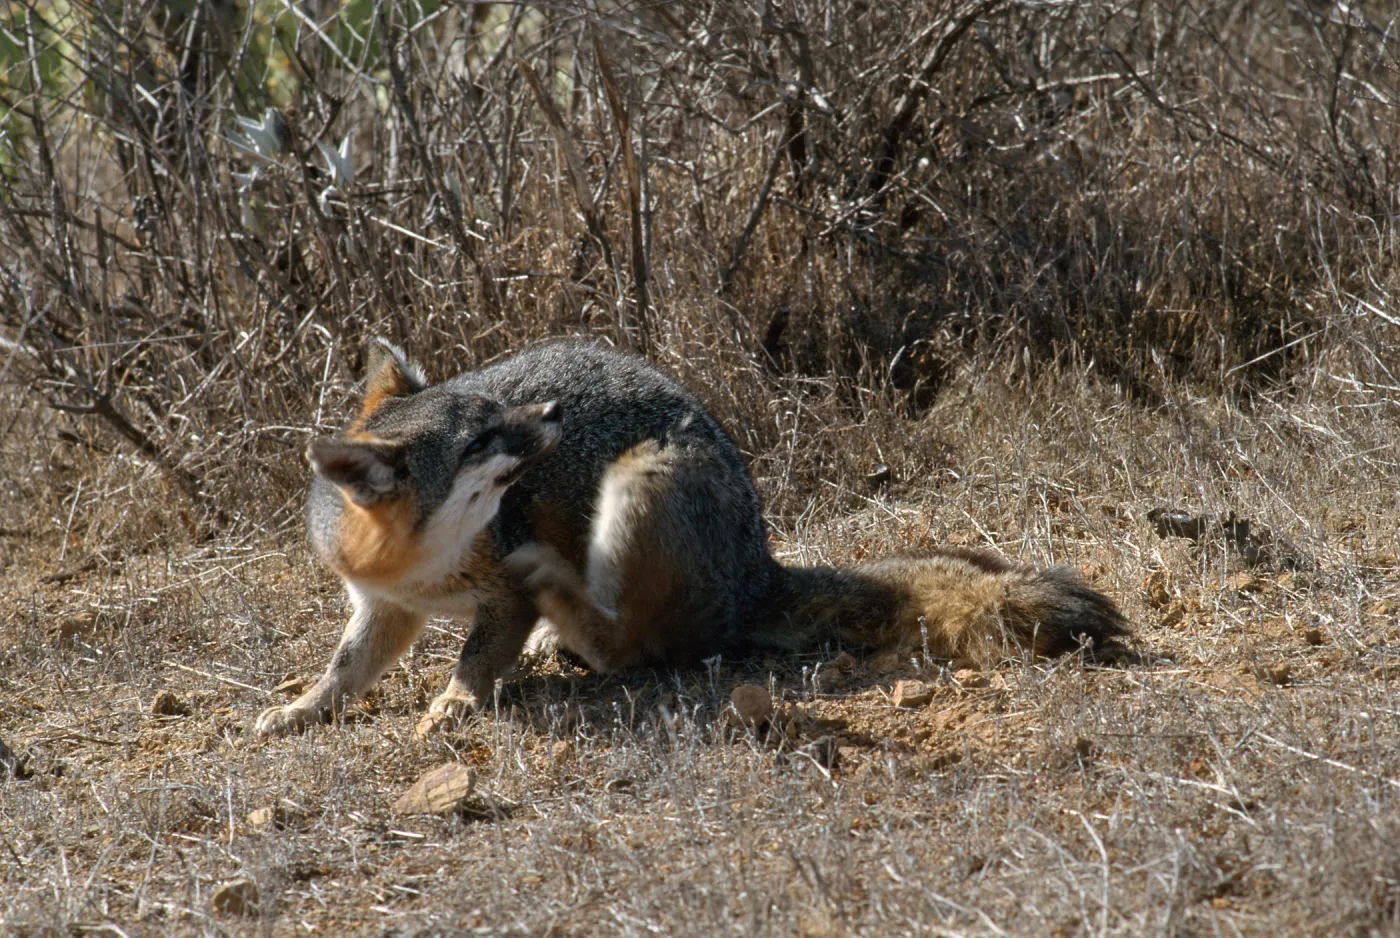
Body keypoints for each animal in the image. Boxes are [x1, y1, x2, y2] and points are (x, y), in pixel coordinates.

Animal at [255, 339, 1127, 740]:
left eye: (499, 415)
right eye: (480, 438)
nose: (551, 414)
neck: (422, 569)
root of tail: (757, 570)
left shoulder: (497, 594)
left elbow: (477, 655)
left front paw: (456, 701)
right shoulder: (382, 605)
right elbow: (346, 668)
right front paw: (304, 708)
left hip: (639, 483)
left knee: (637, 648)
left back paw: (565, 608)